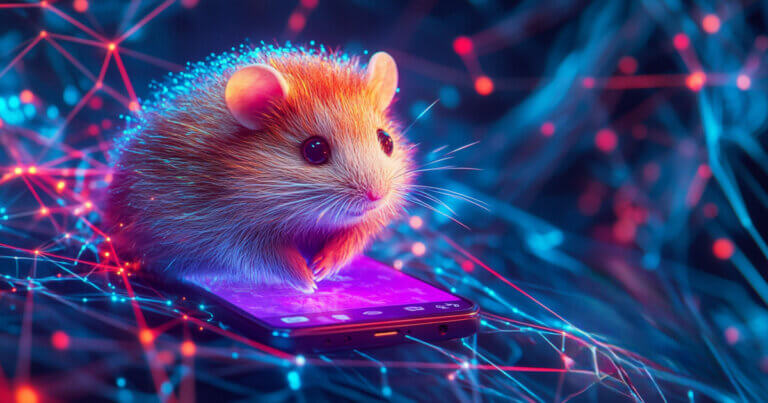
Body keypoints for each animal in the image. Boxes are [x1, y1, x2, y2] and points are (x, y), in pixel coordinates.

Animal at [106, 44, 415, 292]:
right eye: (315, 150)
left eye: (387, 140)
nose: (377, 196)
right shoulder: (225, 231)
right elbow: (269, 259)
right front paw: (308, 281)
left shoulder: (364, 223)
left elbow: (352, 237)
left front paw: (323, 266)